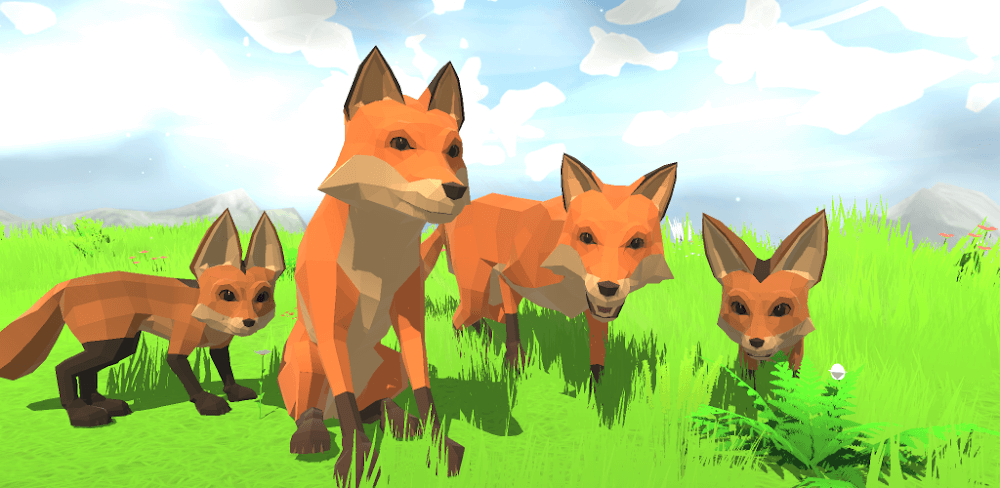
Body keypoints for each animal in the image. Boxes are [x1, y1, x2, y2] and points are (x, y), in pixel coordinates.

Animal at [0, 209, 285, 427]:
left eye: (262, 296)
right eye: (227, 294)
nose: (248, 322)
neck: (205, 314)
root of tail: (68, 283)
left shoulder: (219, 345)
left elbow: (226, 370)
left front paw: (234, 392)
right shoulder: (179, 345)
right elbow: (189, 377)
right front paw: (207, 402)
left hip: (120, 344)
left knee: (86, 373)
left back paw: (104, 403)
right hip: (108, 344)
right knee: (64, 368)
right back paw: (82, 413)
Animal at [276, 46, 468, 486]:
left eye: (454, 150)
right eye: (400, 142)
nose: (456, 191)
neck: (379, 253)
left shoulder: (410, 316)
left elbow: (425, 393)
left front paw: (439, 447)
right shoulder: (329, 326)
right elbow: (348, 410)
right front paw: (356, 461)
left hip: (389, 362)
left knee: (376, 405)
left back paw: (399, 420)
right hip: (307, 360)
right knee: (319, 409)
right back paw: (312, 434)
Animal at [420, 155, 677, 384]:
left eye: (636, 242)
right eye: (586, 237)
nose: (607, 287)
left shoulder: (595, 309)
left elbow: (598, 357)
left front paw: (595, 392)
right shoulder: (509, 277)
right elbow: (513, 328)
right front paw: (515, 366)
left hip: (488, 301)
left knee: (476, 320)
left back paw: (487, 342)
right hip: (477, 294)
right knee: (459, 320)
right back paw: (470, 353)